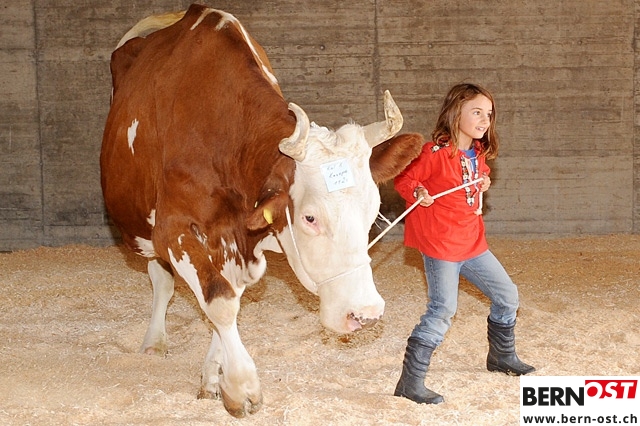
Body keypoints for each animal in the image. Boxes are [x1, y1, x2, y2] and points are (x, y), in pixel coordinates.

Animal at [101, 4, 422, 418]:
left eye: (373, 213)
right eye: (310, 217)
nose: (365, 314)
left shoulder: (248, 240)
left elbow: (232, 297)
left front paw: (215, 377)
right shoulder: (175, 230)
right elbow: (220, 302)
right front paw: (241, 386)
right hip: (144, 227)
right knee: (162, 279)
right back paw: (154, 341)